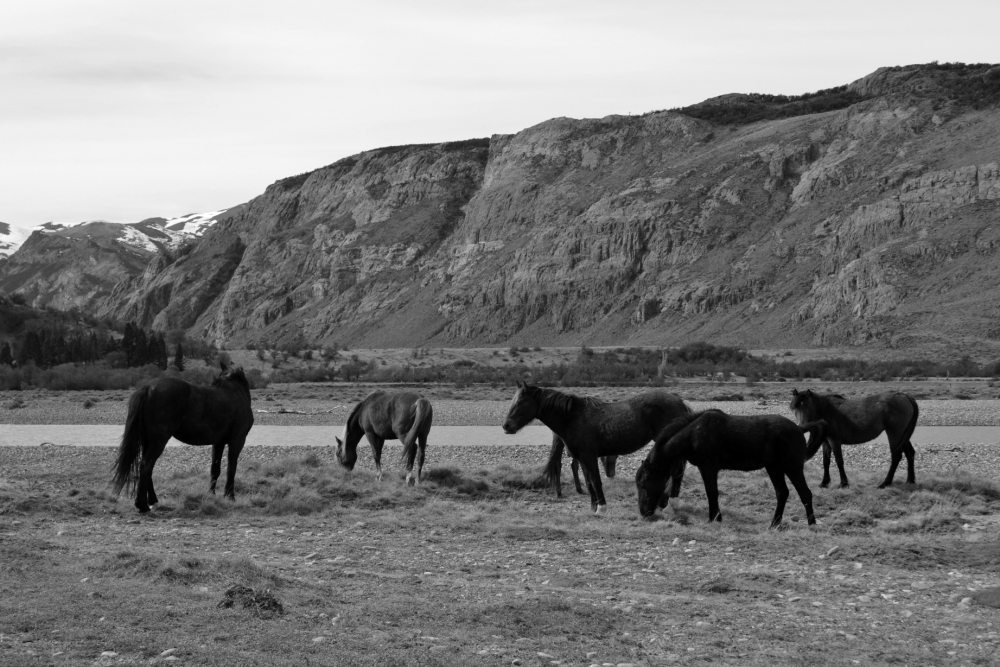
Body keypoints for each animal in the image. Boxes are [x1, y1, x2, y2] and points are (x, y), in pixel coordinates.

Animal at [111, 362, 256, 516]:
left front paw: (211, 494)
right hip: (158, 441)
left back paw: (152, 500)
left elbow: (215, 469)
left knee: (146, 467)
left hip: (147, 441)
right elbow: (231, 469)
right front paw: (230, 496)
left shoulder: (218, 443)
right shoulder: (237, 441)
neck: (235, 392)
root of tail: (149, 387)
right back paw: (142, 505)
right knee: (146, 465)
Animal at [504, 384, 692, 516]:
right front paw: (593, 507)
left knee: (677, 473)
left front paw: (601, 508)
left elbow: (596, 481)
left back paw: (670, 505)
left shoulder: (589, 457)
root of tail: (679, 401)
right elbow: (588, 483)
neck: (572, 417)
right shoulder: (581, 459)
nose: (506, 426)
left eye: (520, 402)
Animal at [636, 410, 824, 528]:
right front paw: (714, 517)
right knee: (782, 493)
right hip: (774, 468)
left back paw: (812, 524)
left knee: (805, 493)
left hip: (793, 468)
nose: (643, 513)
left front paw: (715, 518)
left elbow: (712, 492)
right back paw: (774, 524)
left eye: (643, 484)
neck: (694, 433)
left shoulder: (708, 468)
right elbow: (711, 493)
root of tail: (799, 428)